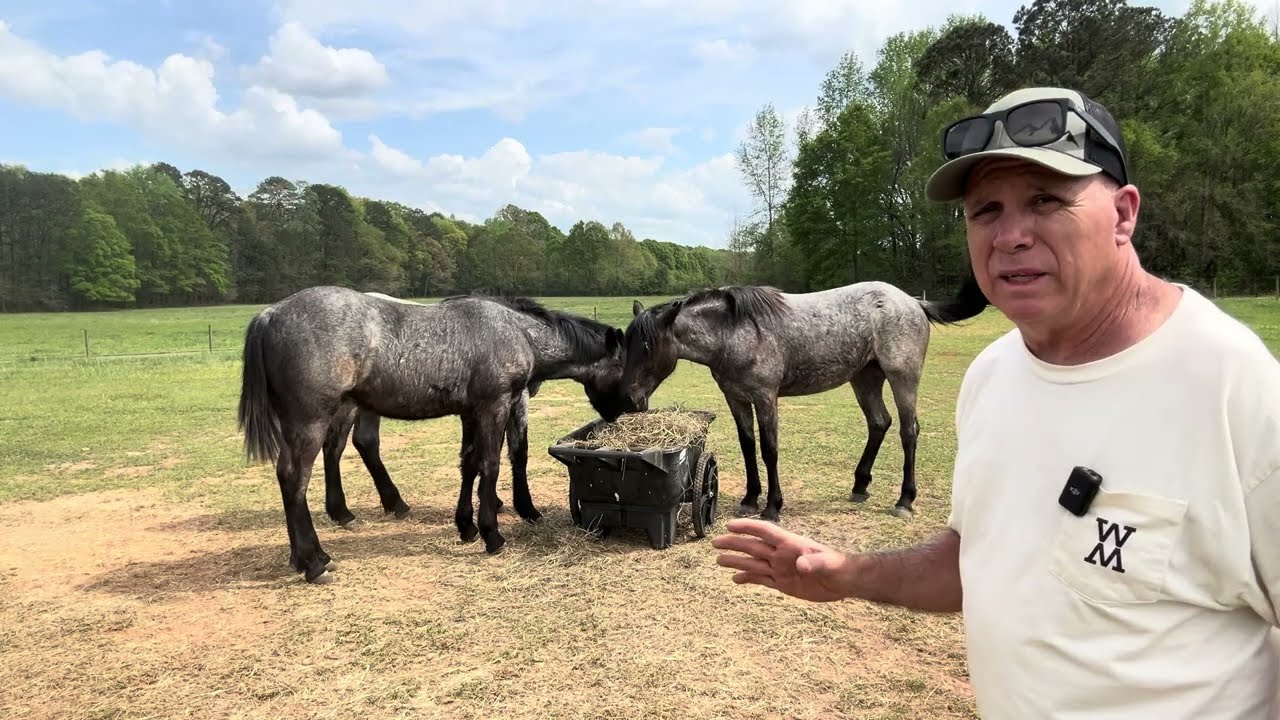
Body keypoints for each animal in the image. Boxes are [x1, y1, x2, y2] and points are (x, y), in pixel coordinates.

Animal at [237, 285, 643, 583]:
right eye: (624, 364)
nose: (637, 405)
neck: (517, 332)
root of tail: (269, 315)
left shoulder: (470, 412)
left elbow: (469, 464)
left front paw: (466, 526)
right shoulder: (495, 406)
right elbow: (492, 464)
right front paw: (493, 534)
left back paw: (311, 550)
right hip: (312, 419)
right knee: (296, 478)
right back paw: (314, 561)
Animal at [622, 277, 988, 522]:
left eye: (648, 346)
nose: (630, 398)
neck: (735, 332)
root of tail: (914, 303)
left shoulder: (765, 398)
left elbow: (769, 449)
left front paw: (772, 507)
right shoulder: (736, 399)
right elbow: (748, 446)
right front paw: (750, 498)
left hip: (902, 378)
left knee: (908, 431)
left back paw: (904, 500)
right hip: (865, 378)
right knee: (879, 423)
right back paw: (860, 485)